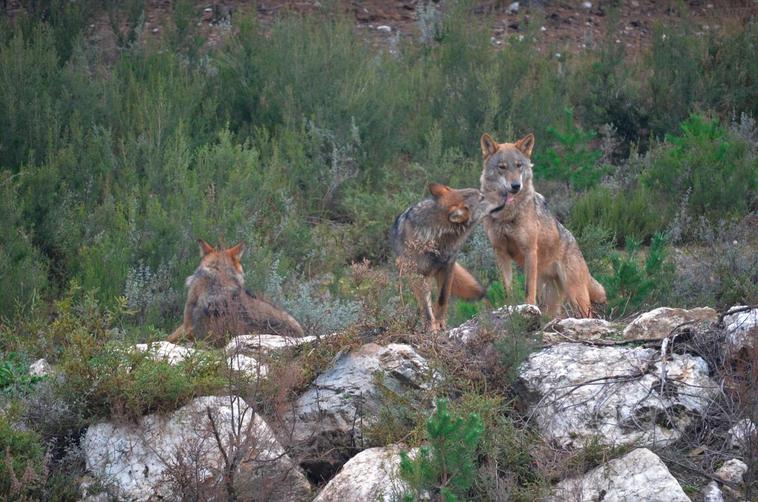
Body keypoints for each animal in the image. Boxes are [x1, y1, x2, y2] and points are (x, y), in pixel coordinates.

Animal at [392, 182, 492, 332]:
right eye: (482, 198)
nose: (506, 193)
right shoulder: (416, 274)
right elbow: (426, 310)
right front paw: (432, 328)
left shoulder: (447, 267)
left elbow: (442, 298)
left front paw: (440, 323)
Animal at [480, 132, 612, 314]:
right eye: (502, 167)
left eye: (519, 166)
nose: (516, 186)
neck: (506, 214)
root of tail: (576, 245)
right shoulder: (500, 252)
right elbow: (507, 288)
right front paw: (509, 307)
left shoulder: (529, 250)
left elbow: (528, 288)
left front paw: (528, 307)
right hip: (552, 304)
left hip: (576, 297)